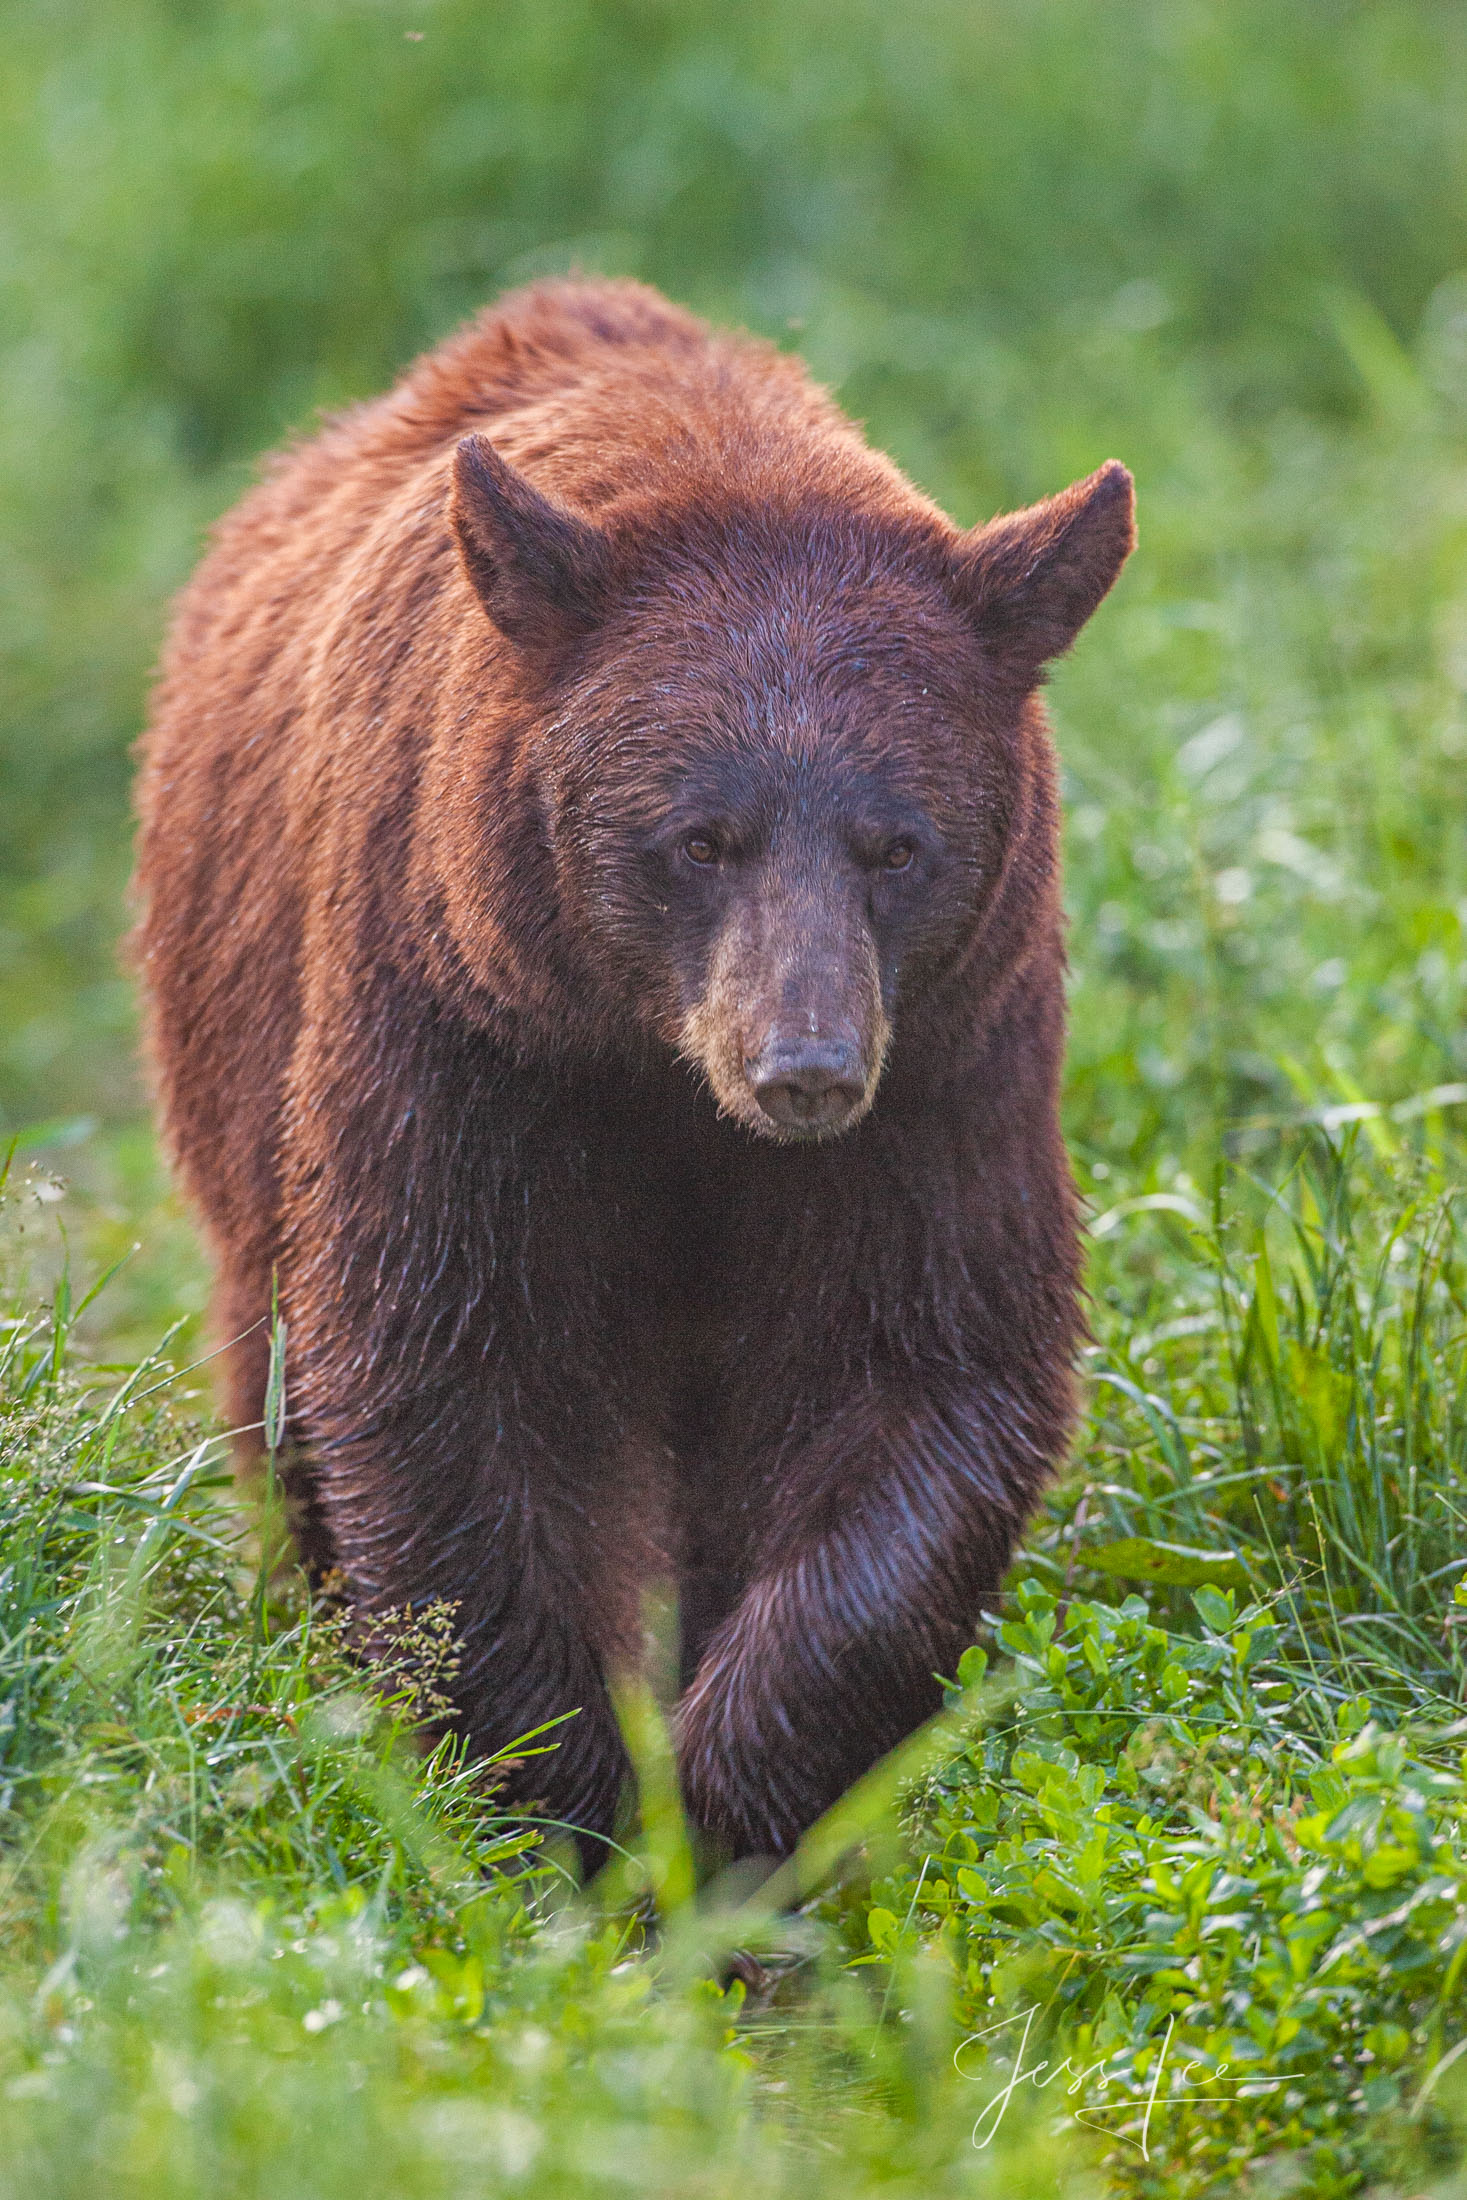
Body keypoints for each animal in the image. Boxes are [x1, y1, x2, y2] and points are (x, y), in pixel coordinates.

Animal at [134, 270, 1134, 1856]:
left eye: (896, 844)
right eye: (702, 836)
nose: (803, 1066)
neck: (665, 1083)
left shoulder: (947, 1065)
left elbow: (923, 1363)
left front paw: (735, 1795)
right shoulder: (466, 1028)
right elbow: (453, 1362)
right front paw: (568, 1796)